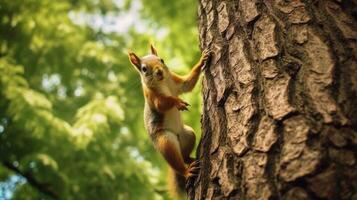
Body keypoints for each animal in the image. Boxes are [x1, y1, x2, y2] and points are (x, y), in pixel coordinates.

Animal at [128, 44, 210, 198]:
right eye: (144, 69)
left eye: (162, 60)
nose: (159, 71)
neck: (163, 82)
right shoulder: (153, 97)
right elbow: (164, 103)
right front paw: (177, 102)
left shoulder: (176, 81)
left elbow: (187, 83)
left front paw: (202, 59)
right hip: (165, 140)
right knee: (177, 163)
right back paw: (187, 170)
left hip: (188, 134)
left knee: (184, 156)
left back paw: (190, 159)